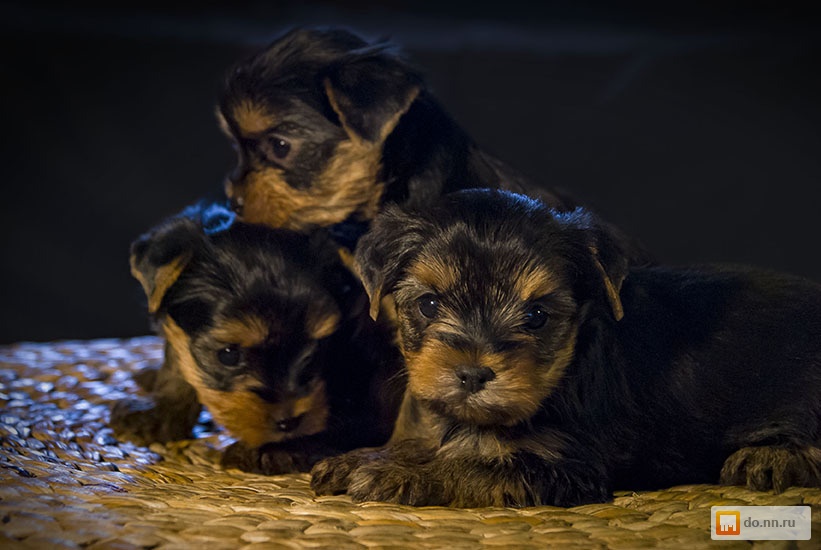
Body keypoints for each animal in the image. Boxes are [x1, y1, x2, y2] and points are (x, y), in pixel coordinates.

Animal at [110, 203, 402, 474]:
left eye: (316, 349)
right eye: (228, 355)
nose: (288, 422)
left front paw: (278, 449)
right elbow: (178, 361)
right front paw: (158, 413)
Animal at [310, 190, 820, 508]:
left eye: (537, 316)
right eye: (429, 304)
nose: (472, 373)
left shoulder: (568, 465)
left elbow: (478, 465)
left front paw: (403, 475)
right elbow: (440, 439)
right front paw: (367, 458)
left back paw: (773, 457)